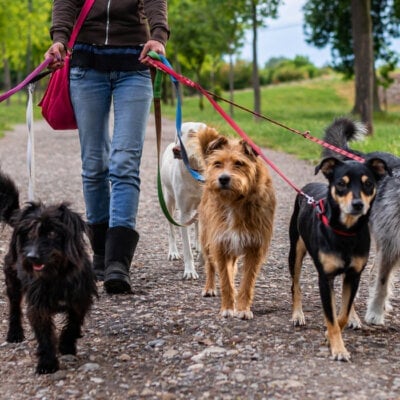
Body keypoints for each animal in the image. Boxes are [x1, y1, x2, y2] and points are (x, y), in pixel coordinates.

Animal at [1, 172, 98, 376]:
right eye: (30, 233)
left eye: (53, 233)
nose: (31, 256)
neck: (56, 275)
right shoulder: (38, 306)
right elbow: (44, 334)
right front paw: (47, 362)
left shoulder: (80, 299)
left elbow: (73, 323)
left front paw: (67, 345)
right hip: (13, 280)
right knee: (14, 306)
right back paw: (14, 333)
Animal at [161, 121, 208, 278]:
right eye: (179, 134)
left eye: (193, 134)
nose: (176, 150)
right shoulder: (184, 213)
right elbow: (187, 249)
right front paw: (190, 271)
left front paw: (203, 257)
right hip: (169, 202)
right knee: (171, 229)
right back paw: (173, 252)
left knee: (197, 225)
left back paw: (197, 245)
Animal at [198, 126, 276, 320]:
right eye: (218, 163)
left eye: (239, 163)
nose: (223, 178)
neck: (235, 201)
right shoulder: (219, 242)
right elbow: (225, 280)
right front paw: (227, 307)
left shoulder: (255, 247)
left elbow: (247, 282)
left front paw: (242, 308)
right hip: (206, 239)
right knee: (211, 266)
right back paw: (209, 287)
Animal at [290, 120, 390, 360]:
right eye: (341, 184)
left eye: (368, 184)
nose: (357, 205)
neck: (345, 232)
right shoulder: (325, 278)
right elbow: (332, 316)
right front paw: (338, 349)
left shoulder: (354, 274)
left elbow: (341, 314)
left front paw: (334, 335)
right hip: (295, 250)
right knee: (295, 285)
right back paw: (297, 314)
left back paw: (353, 317)